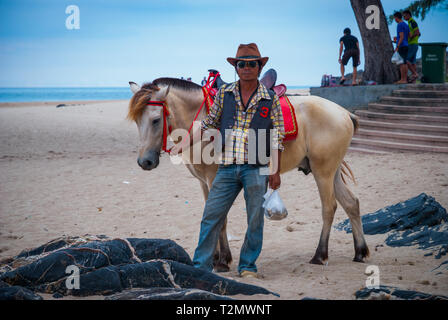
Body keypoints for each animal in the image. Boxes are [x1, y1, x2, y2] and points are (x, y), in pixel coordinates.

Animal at [127, 76, 372, 272]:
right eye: (137, 121)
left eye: (156, 120)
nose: (144, 162)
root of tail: (344, 113)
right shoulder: (204, 182)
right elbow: (212, 215)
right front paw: (215, 257)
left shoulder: (215, 178)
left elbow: (221, 219)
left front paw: (222, 261)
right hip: (332, 171)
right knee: (352, 203)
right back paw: (360, 251)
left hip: (323, 171)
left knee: (329, 207)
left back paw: (320, 255)